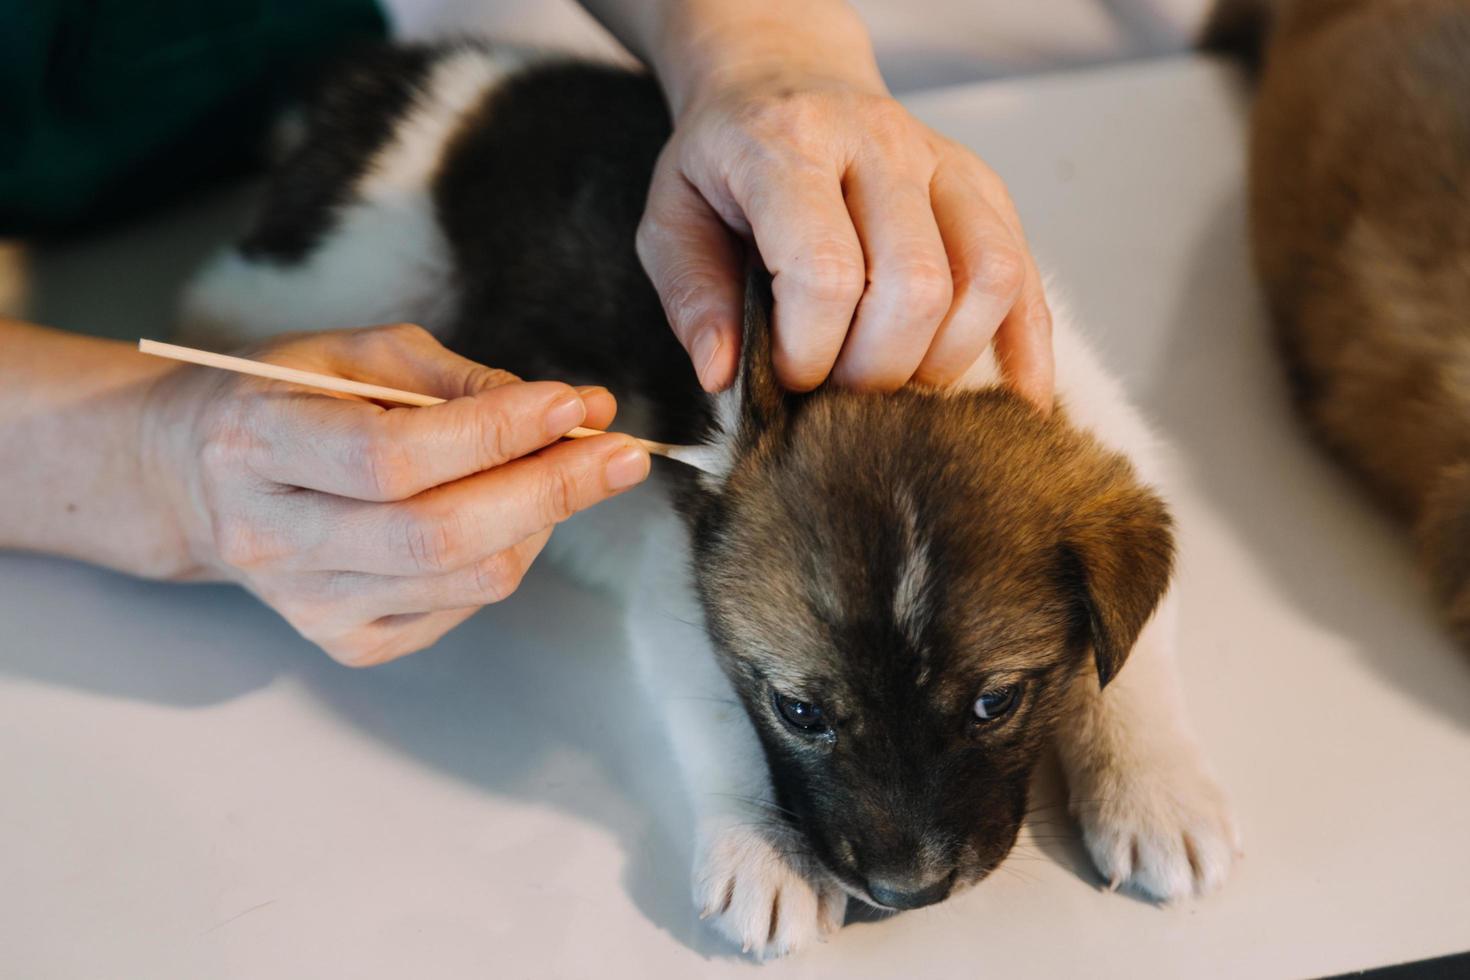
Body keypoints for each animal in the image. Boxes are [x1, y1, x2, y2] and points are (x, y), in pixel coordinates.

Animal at [183, 44, 1240, 957]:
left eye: (995, 702)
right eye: (801, 713)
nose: (905, 894)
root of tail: (396, 80)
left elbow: (1133, 665)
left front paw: (1158, 791)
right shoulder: (675, 579)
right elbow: (715, 713)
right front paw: (763, 852)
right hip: (356, 268)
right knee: (228, 291)